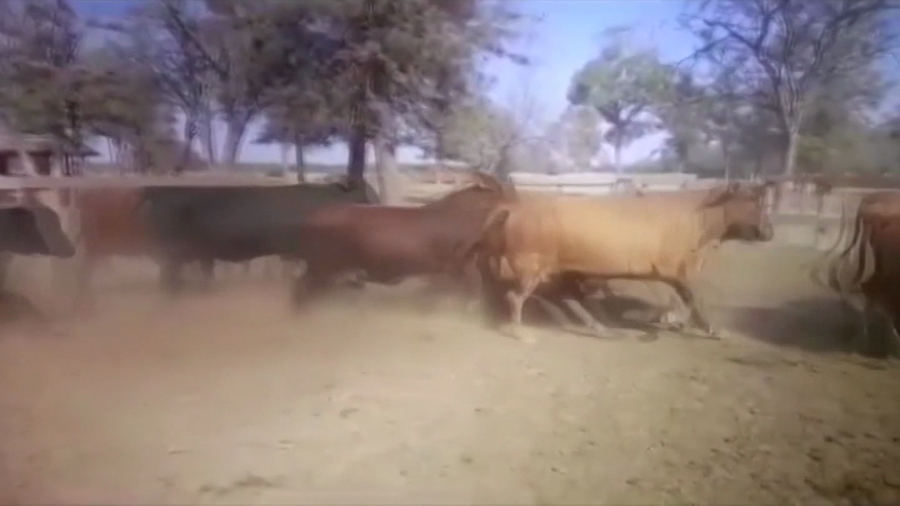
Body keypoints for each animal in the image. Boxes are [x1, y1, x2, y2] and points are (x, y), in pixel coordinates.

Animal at [468, 181, 775, 342]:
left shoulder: (676, 274)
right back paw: (521, 332)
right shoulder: (680, 271)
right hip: (531, 266)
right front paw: (712, 329)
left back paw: (603, 328)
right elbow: (694, 300)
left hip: (555, 270)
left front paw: (675, 321)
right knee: (516, 296)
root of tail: (514, 207)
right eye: (752, 200)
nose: (769, 232)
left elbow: (685, 302)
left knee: (567, 298)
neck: (697, 217)